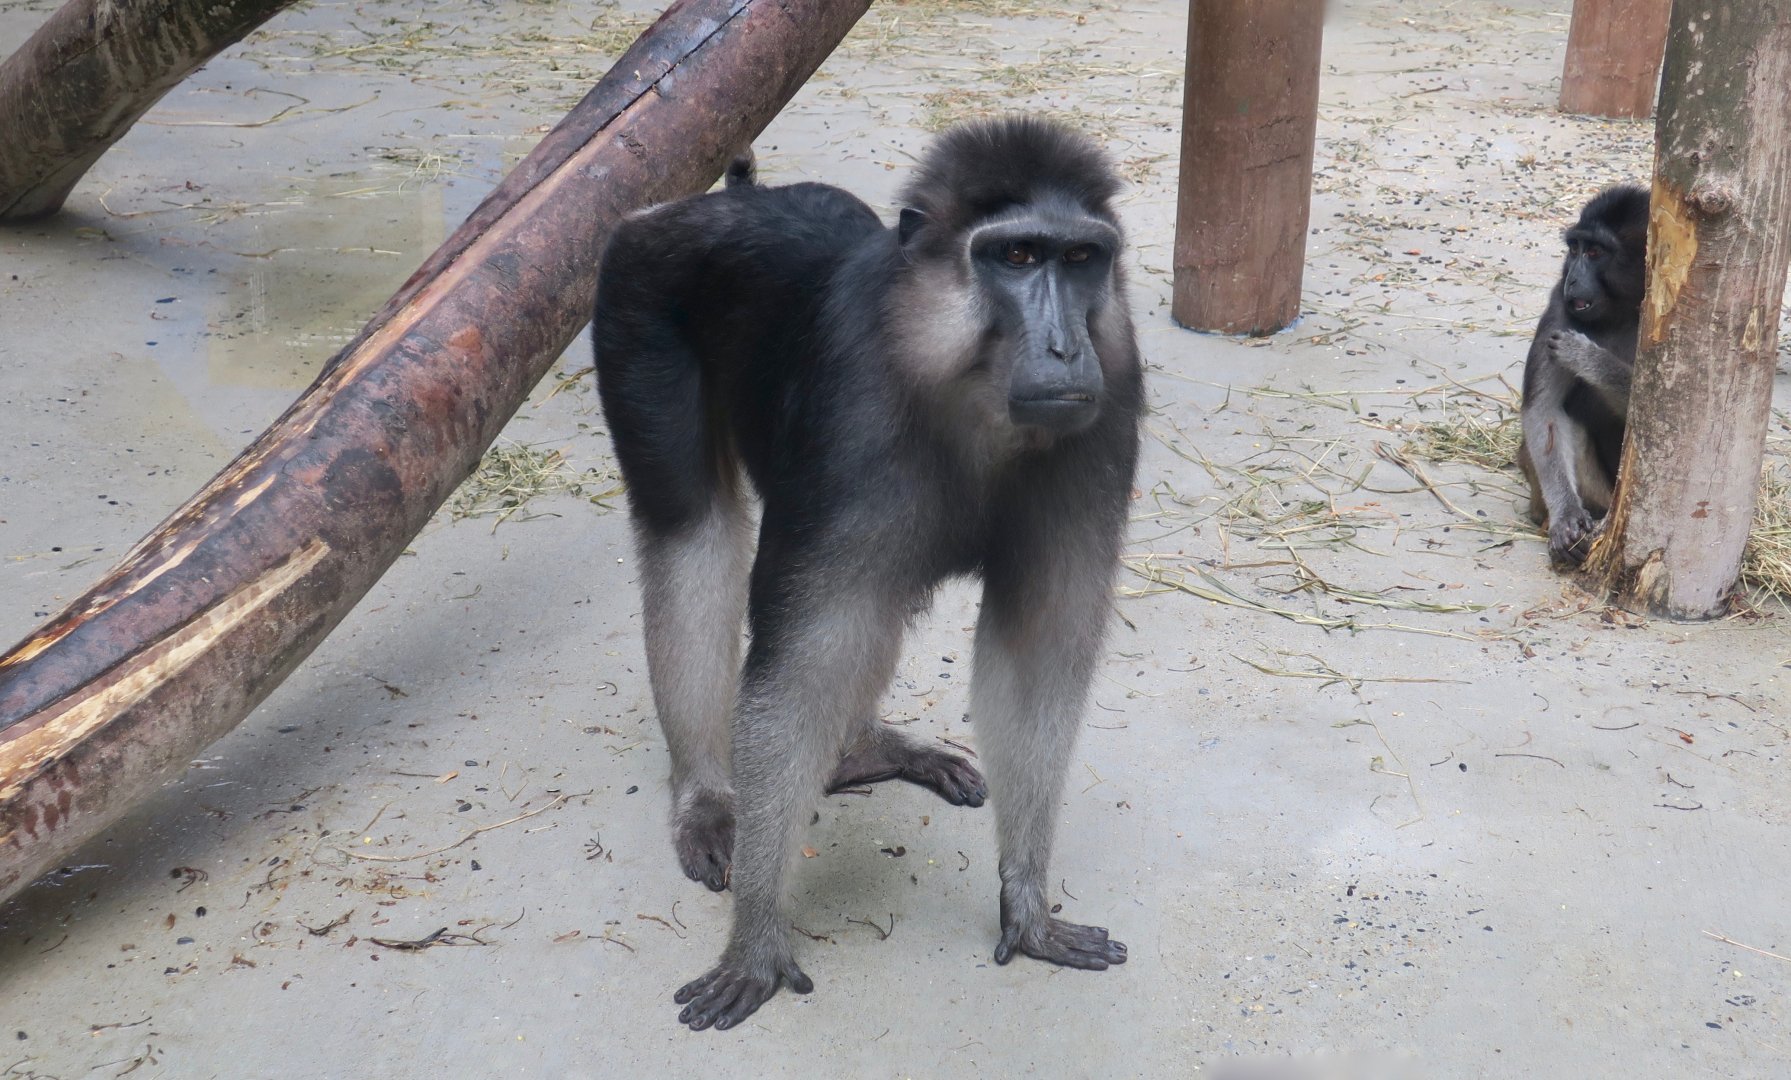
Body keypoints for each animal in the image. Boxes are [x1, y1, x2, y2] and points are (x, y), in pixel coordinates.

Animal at [592, 116, 1141, 1031]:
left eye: (1080, 258)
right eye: (1016, 256)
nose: (1066, 347)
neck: (962, 389)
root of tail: (722, 207)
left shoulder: (1105, 420)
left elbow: (1035, 655)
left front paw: (1026, 903)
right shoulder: (852, 428)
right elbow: (799, 666)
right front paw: (757, 938)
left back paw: (860, 752)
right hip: (635, 301)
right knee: (692, 536)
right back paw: (707, 794)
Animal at [1516, 184, 1649, 565]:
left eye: (1594, 252)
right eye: (1574, 249)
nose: (1572, 278)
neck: (1622, 311)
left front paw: (1590, 359)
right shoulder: (1558, 312)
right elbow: (1544, 412)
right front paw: (1566, 517)